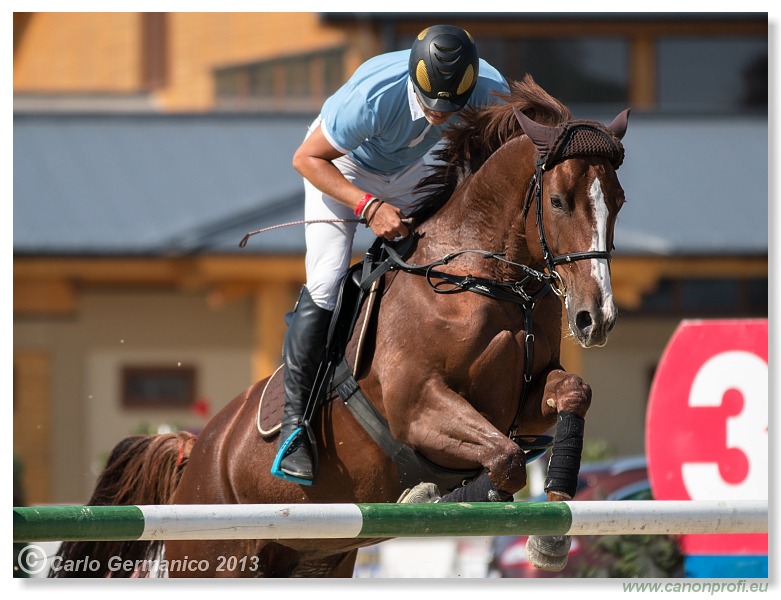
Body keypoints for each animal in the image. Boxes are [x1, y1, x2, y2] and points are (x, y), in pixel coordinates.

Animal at [51, 75, 628, 576]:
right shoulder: (418, 406)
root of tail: (198, 450)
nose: (595, 319)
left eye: (618, 202)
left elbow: (570, 394)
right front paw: (430, 495)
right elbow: (505, 459)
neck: (486, 280)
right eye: (558, 201)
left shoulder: (519, 401)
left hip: (312, 559)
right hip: (217, 555)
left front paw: (550, 535)